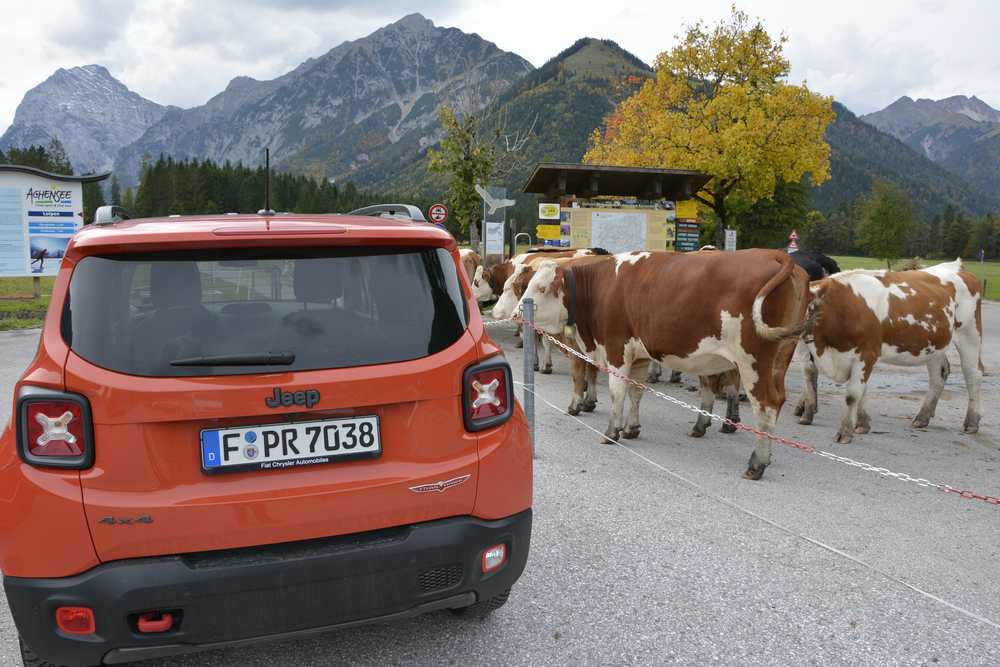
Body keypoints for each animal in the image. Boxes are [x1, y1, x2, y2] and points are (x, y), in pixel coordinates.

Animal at [516, 250, 812, 480]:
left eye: (541, 288)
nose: (519, 311)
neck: (601, 288)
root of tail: (774, 254)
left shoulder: (616, 349)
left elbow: (617, 392)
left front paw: (612, 432)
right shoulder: (639, 355)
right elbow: (635, 392)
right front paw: (631, 428)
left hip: (753, 361)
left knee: (766, 405)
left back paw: (757, 463)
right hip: (780, 359)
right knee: (777, 401)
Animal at [796, 260, 984, 444]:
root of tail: (957, 265)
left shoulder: (867, 353)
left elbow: (853, 394)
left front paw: (845, 431)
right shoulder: (812, 351)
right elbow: (815, 377)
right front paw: (862, 423)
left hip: (969, 335)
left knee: (973, 374)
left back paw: (971, 423)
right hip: (934, 345)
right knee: (939, 374)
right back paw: (922, 417)